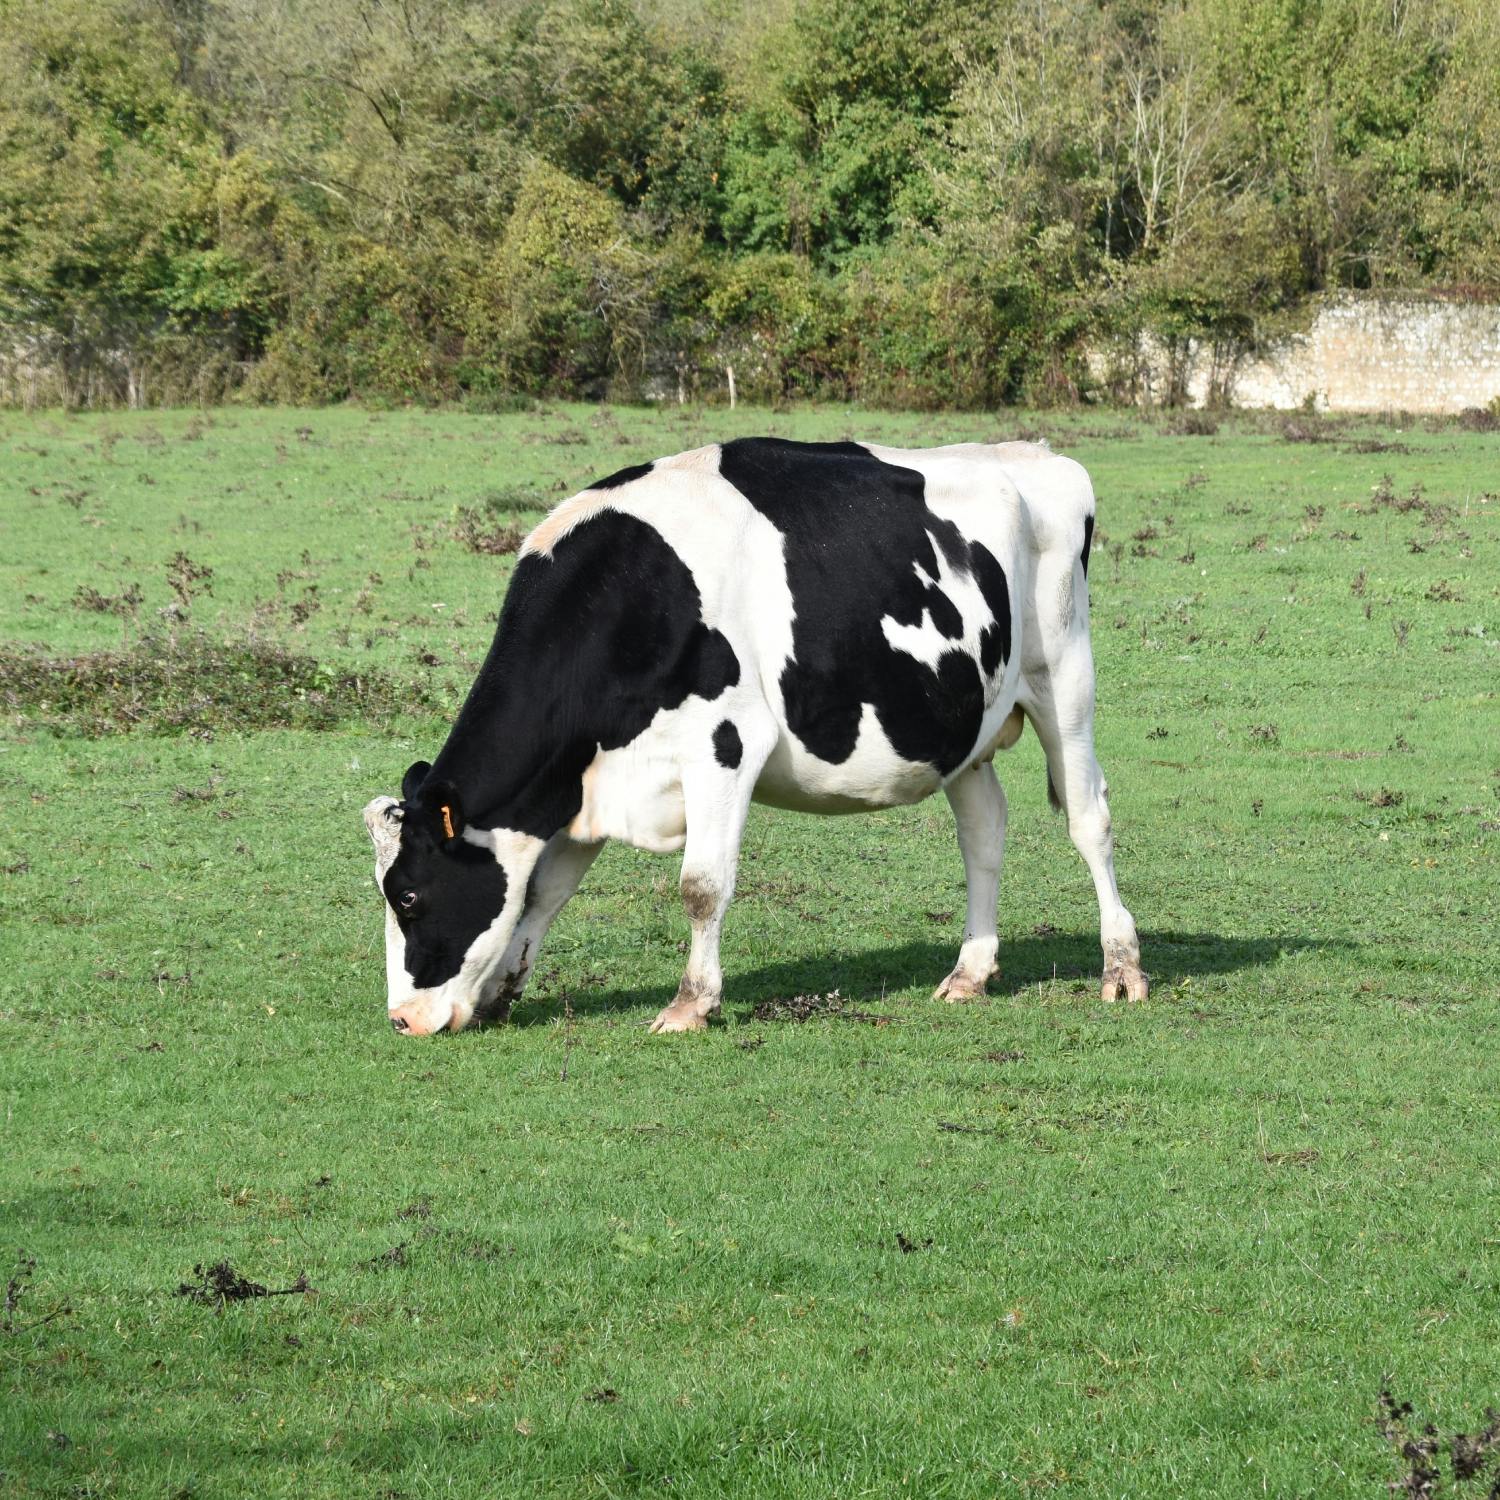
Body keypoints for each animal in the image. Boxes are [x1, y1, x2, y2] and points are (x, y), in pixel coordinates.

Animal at [363, 437, 1147, 1036]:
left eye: (408, 895)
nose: (403, 1019)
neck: (626, 597)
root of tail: (1039, 455)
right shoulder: (585, 778)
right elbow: (542, 891)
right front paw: (503, 989)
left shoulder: (723, 741)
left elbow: (701, 885)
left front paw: (690, 1005)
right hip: (963, 723)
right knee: (984, 832)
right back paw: (970, 972)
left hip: (1064, 680)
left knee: (1090, 820)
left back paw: (1121, 968)